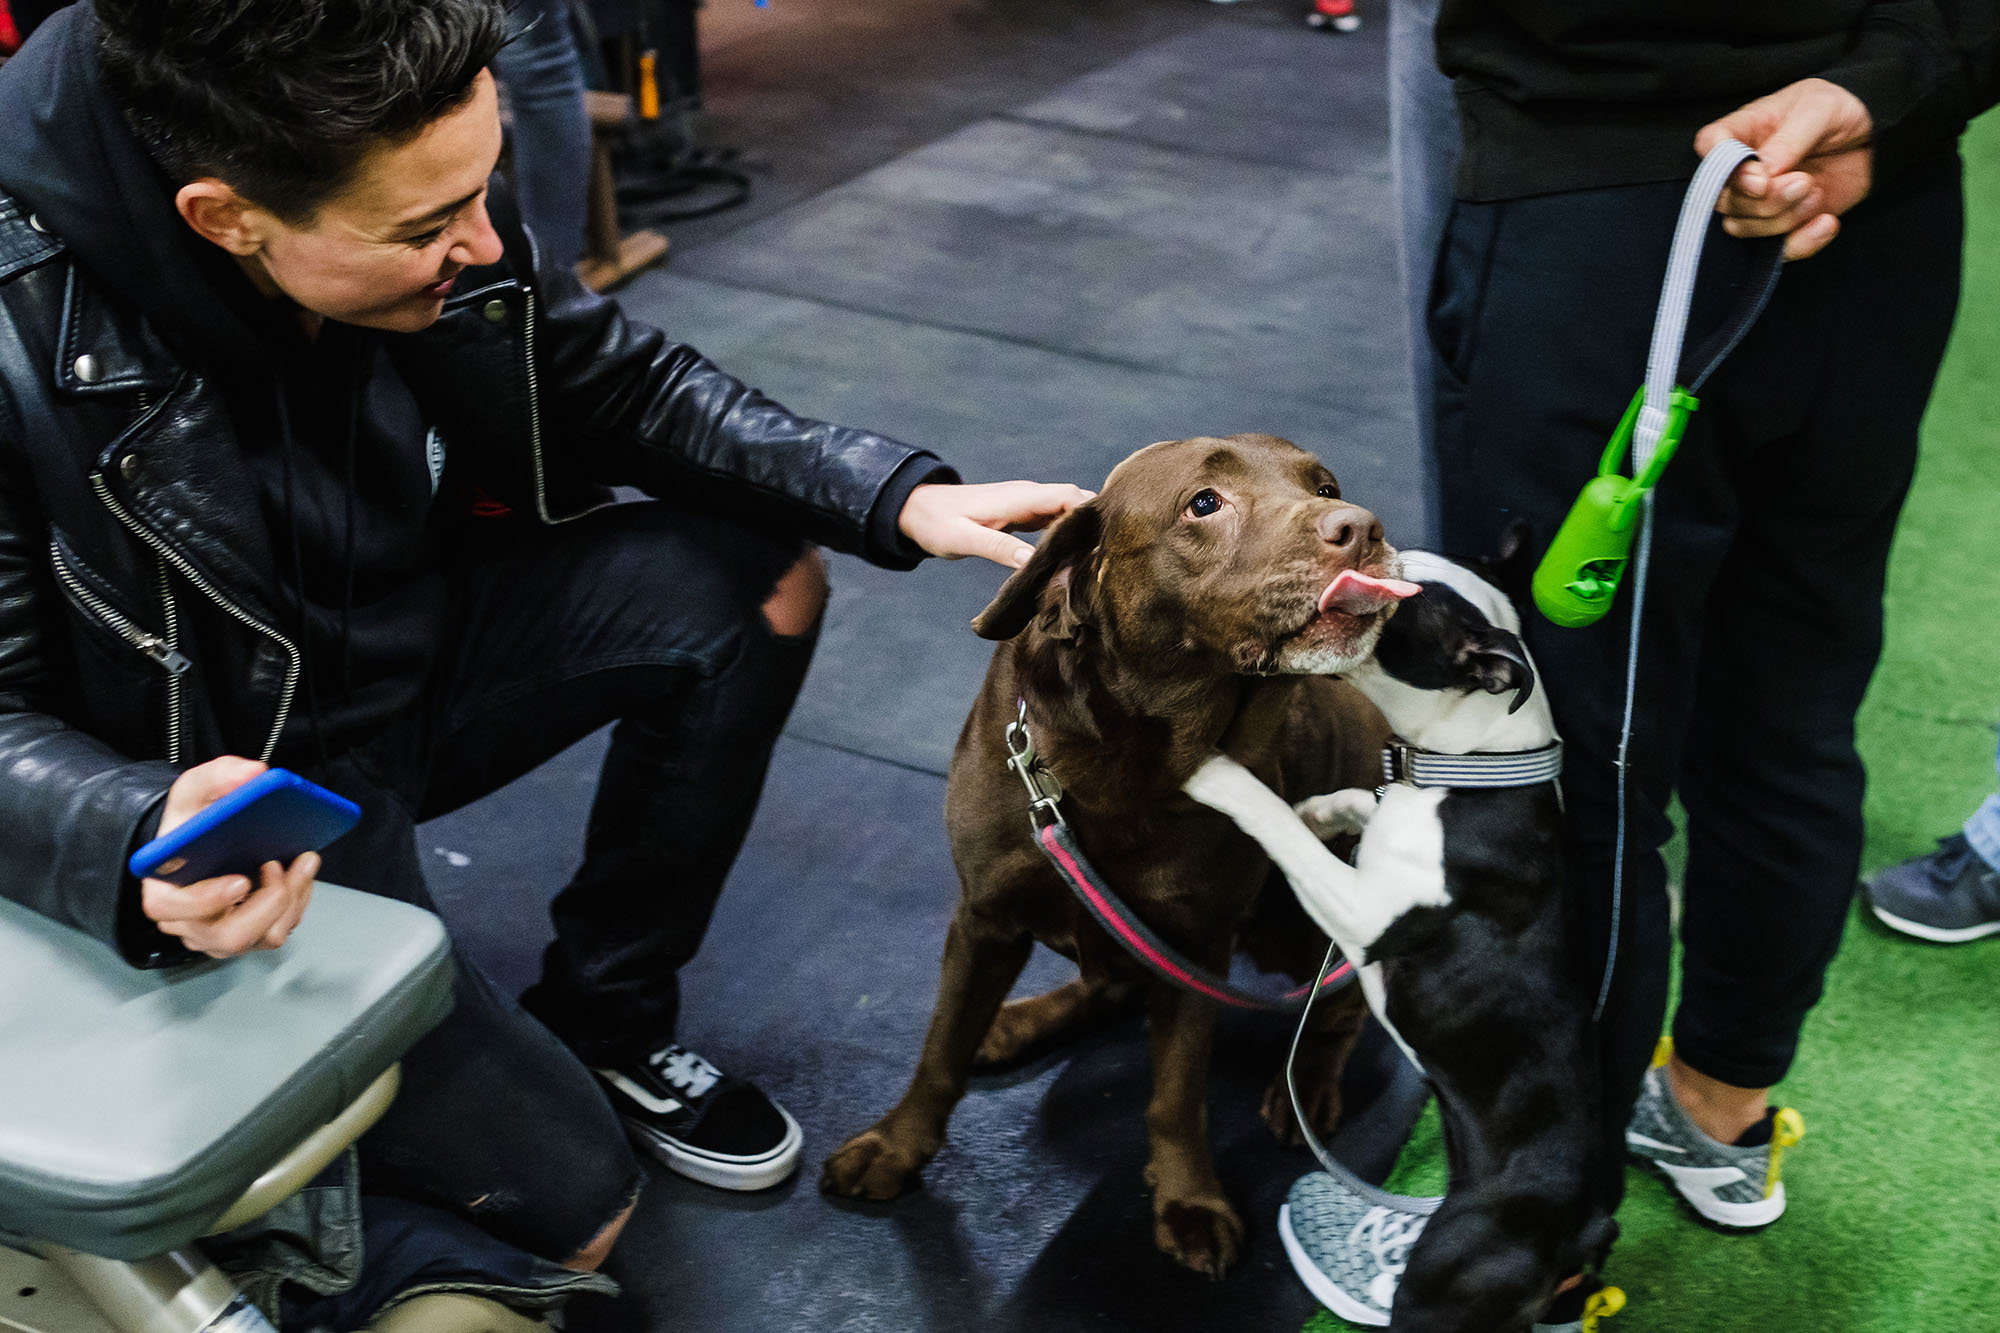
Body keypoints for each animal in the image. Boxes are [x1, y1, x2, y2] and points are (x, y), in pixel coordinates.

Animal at [1176, 548, 1616, 1328]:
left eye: (1391, 603)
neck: (1472, 766)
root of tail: (1586, 1228)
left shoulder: (1364, 916)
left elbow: (1278, 827)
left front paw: (1219, 775)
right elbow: (1352, 800)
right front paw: (1318, 808)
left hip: (1445, 1276)